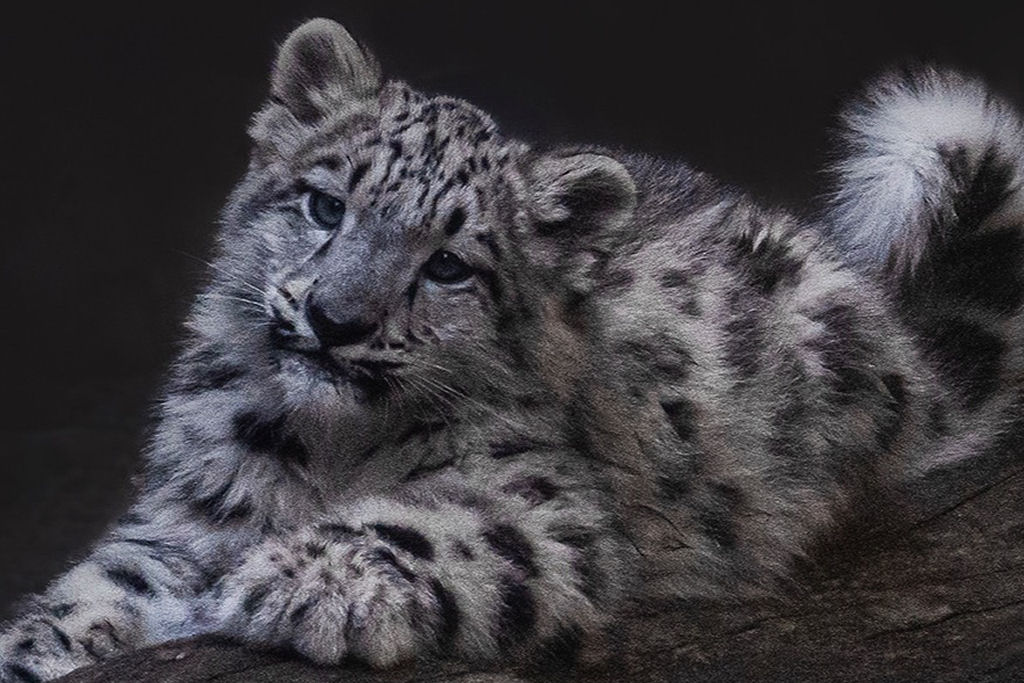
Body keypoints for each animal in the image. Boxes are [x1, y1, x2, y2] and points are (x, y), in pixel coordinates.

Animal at [1, 17, 1022, 682]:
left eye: (449, 265)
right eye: (326, 205)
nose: (335, 320)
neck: (327, 448)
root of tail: (896, 345)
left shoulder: (547, 503)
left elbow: (438, 525)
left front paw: (298, 579)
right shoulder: (195, 506)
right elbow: (113, 576)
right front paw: (36, 646)